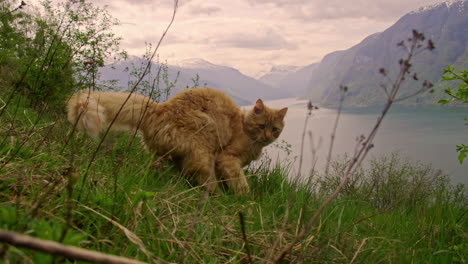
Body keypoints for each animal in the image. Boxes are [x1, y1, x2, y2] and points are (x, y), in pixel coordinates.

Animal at [65, 88, 286, 194]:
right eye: (262, 126)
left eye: (275, 129)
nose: (267, 136)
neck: (245, 129)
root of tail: (158, 109)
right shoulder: (227, 159)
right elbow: (240, 182)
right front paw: (244, 199)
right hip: (203, 146)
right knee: (204, 180)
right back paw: (216, 197)